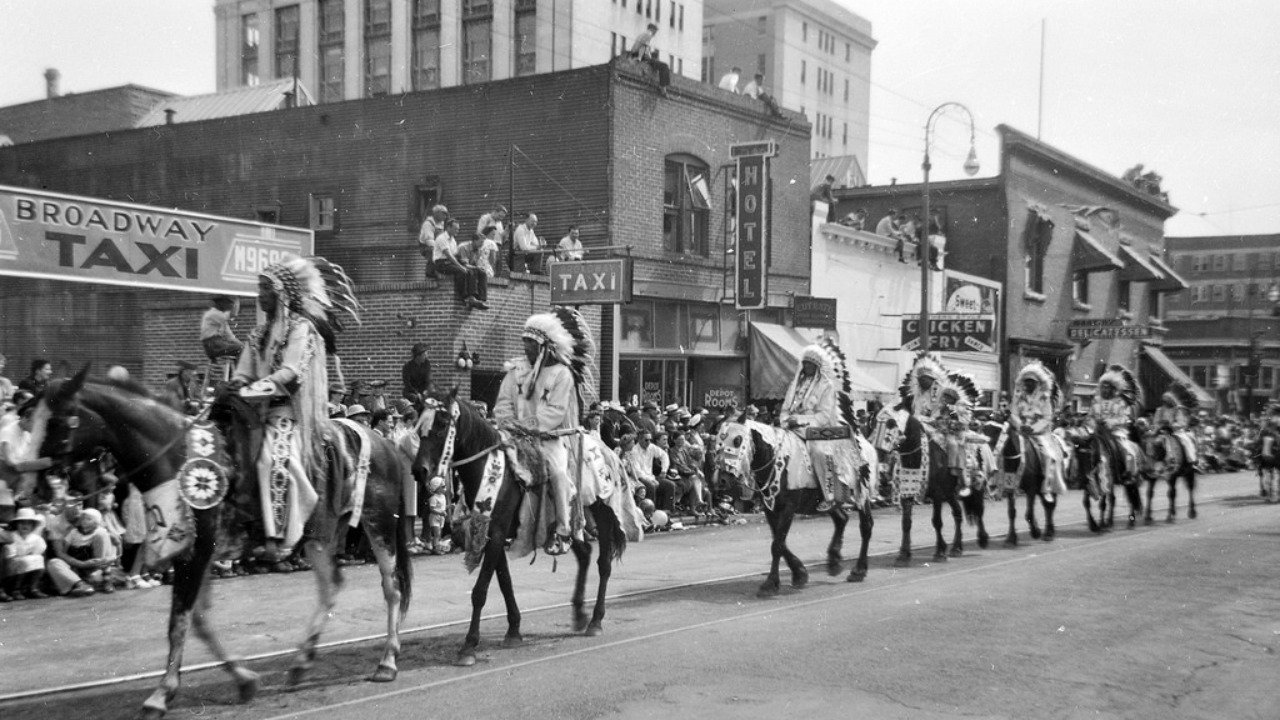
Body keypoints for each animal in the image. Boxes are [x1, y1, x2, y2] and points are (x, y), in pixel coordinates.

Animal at [33, 368, 409, 717]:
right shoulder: (199, 553)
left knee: (391, 588)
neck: (176, 456)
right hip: (318, 536)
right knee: (332, 584)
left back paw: (387, 662)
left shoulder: (195, 553)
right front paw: (243, 680)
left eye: (57, 419)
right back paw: (302, 663)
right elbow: (198, 620)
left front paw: (160, 695)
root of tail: (382, 442)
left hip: (378, 525)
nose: (37, 481)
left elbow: (179, 623)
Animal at [414, 389, 634, 666]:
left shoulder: (496, 533)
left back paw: (595, 620)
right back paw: (579, 615)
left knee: (603, 564)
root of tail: (607, 450)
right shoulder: (492, 534)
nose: (419, 470)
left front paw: (468, 647)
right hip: (567, 520)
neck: (491, 470)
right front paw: (513, 631)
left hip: (603, 512)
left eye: (443, 422)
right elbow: (504, 582)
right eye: (418, 422)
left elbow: (480, 590)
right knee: (585, 554)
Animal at [716, 412, 875, 591]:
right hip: (830, 500)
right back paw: (834, 562)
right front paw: (799, 573)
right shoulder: (770, 509)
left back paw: (858, 570)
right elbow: (779, 541)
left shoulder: (788, 508)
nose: (723, 479)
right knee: (842, 519)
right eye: (718, 442)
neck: (777, 461)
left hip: (862, 494)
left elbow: (777, 545)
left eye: (737, 440)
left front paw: (771, 582)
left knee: (866, 526)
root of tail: (866, 444)